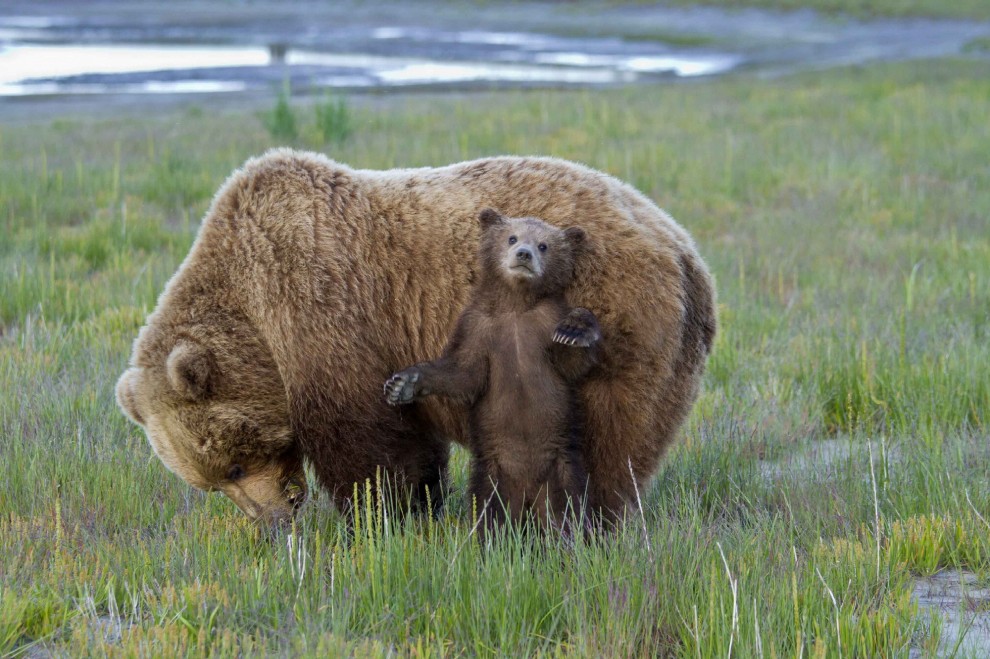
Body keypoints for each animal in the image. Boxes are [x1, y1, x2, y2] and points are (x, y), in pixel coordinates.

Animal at [116, 148, 716, 524]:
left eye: (234, 465)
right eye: (213, 483)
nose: (276, 520)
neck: (258, 327)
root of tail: (687, 252)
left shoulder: (323, 306)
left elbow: (369, 442)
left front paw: (383, 517)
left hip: (624, 323)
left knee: (606, 444)